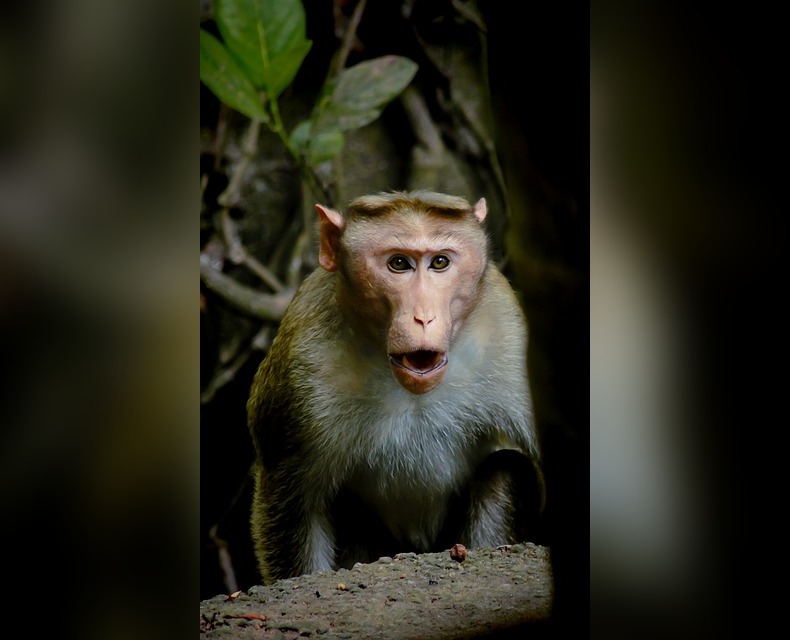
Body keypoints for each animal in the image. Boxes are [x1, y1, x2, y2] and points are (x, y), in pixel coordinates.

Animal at [247, 190, 544, 584]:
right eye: (399, 264)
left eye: (440, 262)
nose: (424, 317)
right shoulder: (300, 373)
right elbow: (295, 505)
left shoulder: (512, 337)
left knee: (505, 470)